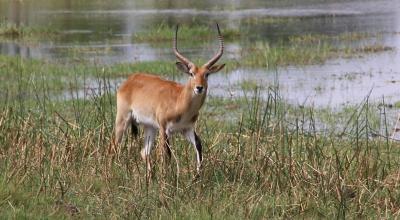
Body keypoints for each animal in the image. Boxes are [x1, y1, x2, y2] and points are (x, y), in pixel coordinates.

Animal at [114, 23, 225, 175]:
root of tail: (129, 80)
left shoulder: (186, 128)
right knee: (114, 146)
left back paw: (150, 177)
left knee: (144, 152)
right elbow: (166, 154)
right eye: (191, 73)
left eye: (207, 74)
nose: (199, 87)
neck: (179, 102)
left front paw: (197, 176)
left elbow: (199, 145)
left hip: (150, 127)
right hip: (123, 119)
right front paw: (167, 177)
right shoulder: (164, 128)